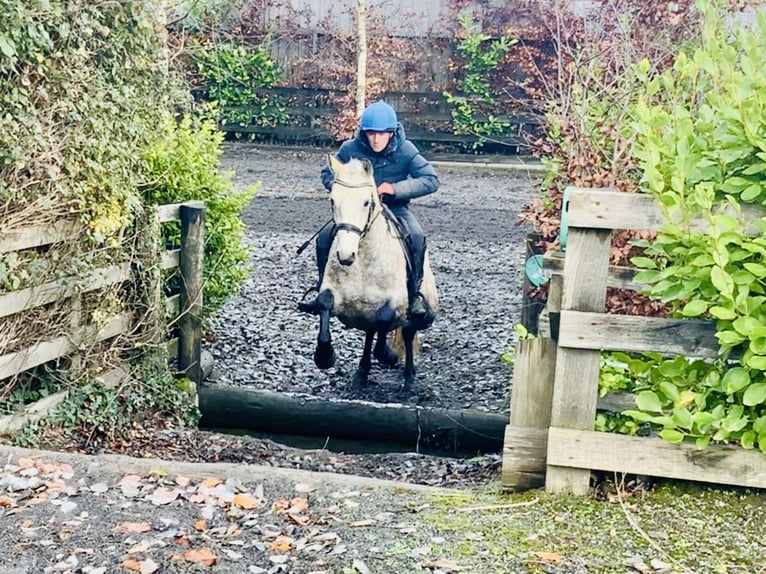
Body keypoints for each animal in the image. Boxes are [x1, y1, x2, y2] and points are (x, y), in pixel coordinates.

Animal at [306, 156, 438, 396]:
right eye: (333, 201)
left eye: (366, 202)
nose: (346, 255)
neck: (363, 261)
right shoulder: (335, 294)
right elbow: (324, 303)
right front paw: (324, 355)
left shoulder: (396, 303)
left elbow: (385, 319)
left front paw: (388, 355)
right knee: (369, 333)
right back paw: (362, 374)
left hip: (419, 315)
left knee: (405, 334)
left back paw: (409, 380)